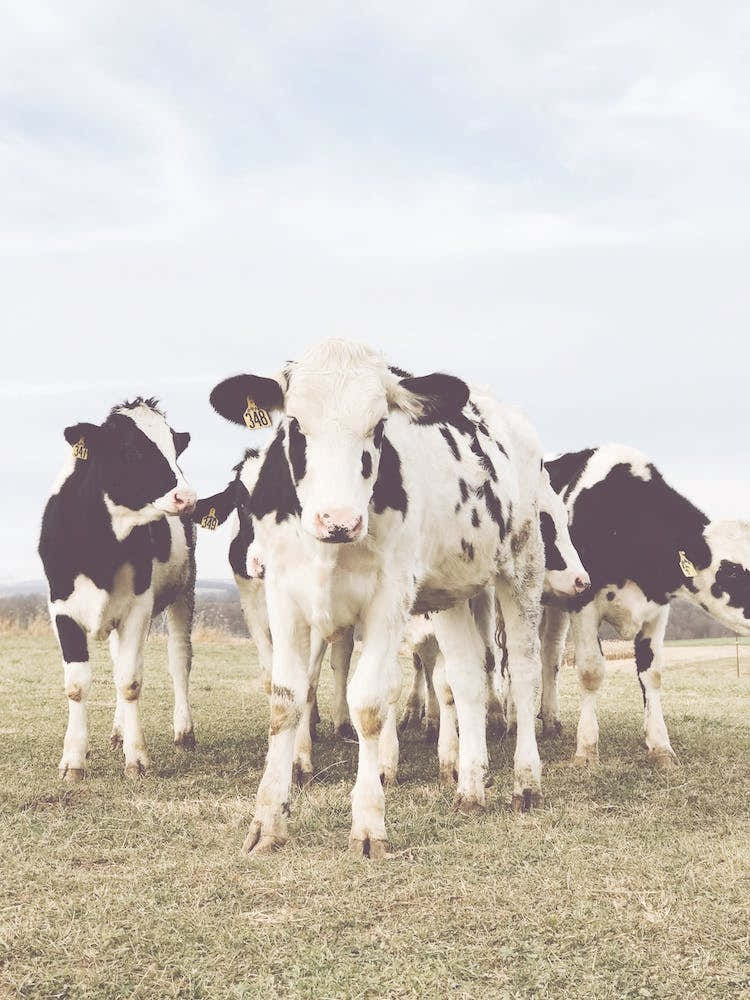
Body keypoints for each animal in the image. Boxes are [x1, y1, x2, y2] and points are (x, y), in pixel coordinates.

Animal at [38, 398, 198, 781]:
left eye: (175, 450)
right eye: (131, 451)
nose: (187, 497)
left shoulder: (138, 607)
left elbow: (130, 681)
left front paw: (136, 759)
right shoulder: (60, 608)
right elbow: (77, 684)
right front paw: (73, 760)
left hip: (184, 591)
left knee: (179, 660)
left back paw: (183, 731)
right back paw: (117, 731)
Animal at [209, 339, 559, 859]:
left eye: (378, 427)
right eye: (295, 425)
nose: (338, 520)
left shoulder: (389, 599)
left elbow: (370, 704)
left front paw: (369, 823)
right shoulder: (284, 595)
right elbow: (285, 699)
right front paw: (267, 822)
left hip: (522, 565)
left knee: (523, 671)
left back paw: (526, 783)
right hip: (452, 591)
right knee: (467, 680)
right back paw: (471, 788)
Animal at [541, 443, 750, 766]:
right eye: (733, 572)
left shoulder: (657, 610)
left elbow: (652, 674)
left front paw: (660, 746)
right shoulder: (583, 603)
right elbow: (591, 671)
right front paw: (586, 749)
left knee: (549, 654)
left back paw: (550, 721)